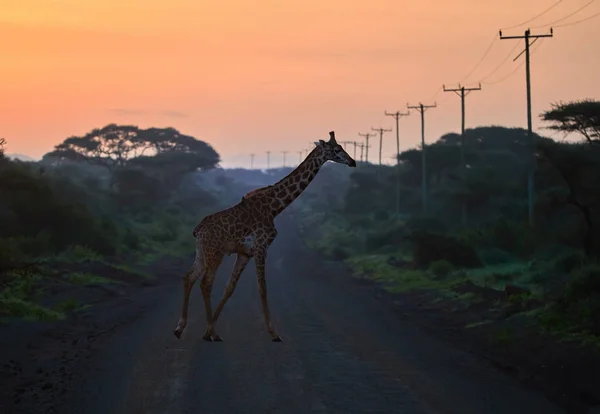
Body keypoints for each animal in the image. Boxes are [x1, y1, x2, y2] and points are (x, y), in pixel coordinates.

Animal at [172, 131, 356, 342]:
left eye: (342, 147)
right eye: (336, 150)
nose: (353, 162)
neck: (274, 207)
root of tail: (198, 229)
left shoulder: (245, 253)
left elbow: (230, 287)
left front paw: (212, 330)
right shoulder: (261, 247)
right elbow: (262, 287)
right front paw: (274, 333)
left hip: (202, 252)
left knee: (189, 277)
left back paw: (181, 328)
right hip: (214, 253)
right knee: (205, 283)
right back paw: (206, 332)